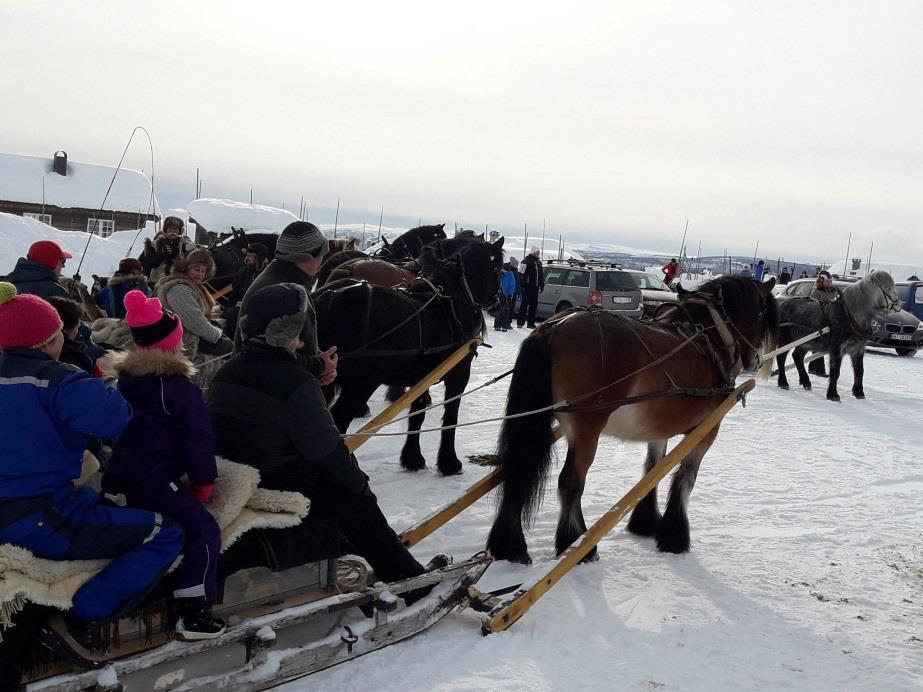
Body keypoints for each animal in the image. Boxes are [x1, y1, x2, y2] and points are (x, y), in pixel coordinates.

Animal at [316, 235, 506, 474]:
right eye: (499, 268)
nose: (501, 301)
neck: (454, 300)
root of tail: (327, 297)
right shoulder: (459, 372)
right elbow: (450, 416)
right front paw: (449, 462)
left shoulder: (423, 377)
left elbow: (418, 413)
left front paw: (412, 458)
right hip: (361, 383)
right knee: (337, 423)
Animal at [488, 276, 776, 564]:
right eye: (762, 314)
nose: (755, 360)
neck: (711, 338)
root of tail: (552, 328)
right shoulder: (707, 429)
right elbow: (685, 478)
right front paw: (675, 537)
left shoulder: (660, 427)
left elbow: (652, 470)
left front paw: (645, 522)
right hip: (586, 431)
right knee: (570, 482)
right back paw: (577, 545)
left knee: (519, 468)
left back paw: (510, 546)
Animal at [776, 268, 900, 400]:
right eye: (886, 287)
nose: (898, 304)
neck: (849, 316)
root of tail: (784, 304)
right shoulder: (836, 349)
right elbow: (835, 372)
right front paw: (833, 394)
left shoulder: (858, 349)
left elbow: (859, 371)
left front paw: (859, 392)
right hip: (786, 339)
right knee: (781, 357)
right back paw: (783, 382)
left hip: (806, 342)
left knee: (797, 357)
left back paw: (806, 382)